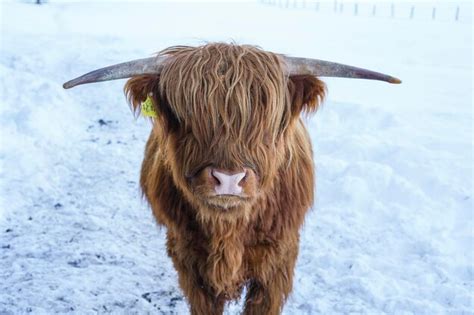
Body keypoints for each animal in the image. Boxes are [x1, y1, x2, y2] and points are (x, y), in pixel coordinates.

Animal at [64, 42, 400, 315]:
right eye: (187, 118)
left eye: (266, 122)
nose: (228, 179)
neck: (229, 228)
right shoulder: (189, 259)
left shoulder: (278, 262)